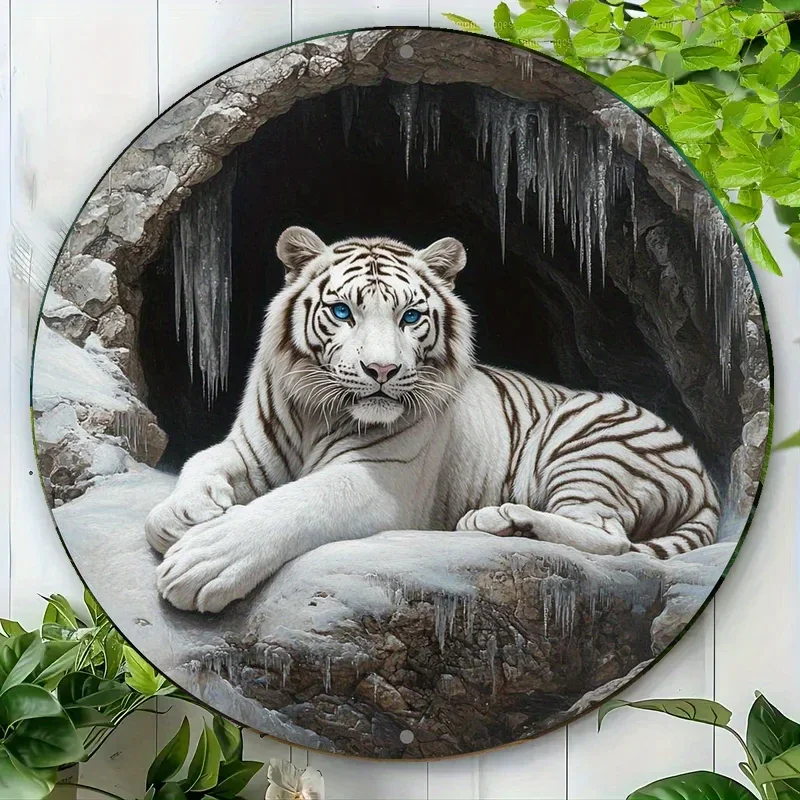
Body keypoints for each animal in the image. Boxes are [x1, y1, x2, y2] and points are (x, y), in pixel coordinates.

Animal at [147, 226, 720, 613]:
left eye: (410, 316)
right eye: (342, 312)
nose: (382, 369)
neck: (316, 412)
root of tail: (706, 476)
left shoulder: (380, 480)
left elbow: (295, 503)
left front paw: (205, 560)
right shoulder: (247, 448)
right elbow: (199, 462)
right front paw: (182, 513)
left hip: (584, 442)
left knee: (612, 537)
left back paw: (501, 519)